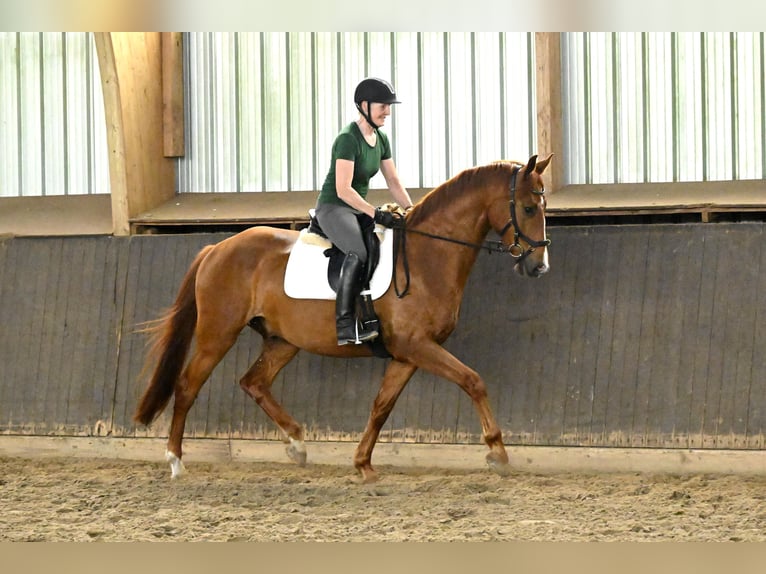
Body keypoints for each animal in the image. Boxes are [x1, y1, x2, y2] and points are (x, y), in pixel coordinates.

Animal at [132, 153, 552, 482]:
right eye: (529, 208)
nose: (539, 267)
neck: (427, 257)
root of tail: (217, 248)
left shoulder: (407, 354)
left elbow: (381, 406)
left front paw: (363, 463)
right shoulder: (418, 347)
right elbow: (473, 381)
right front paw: (497, 453)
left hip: (282, 340)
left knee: (254, 382)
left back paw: (297, 445)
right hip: (217, 333)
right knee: (188, 386)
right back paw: (175, 461)